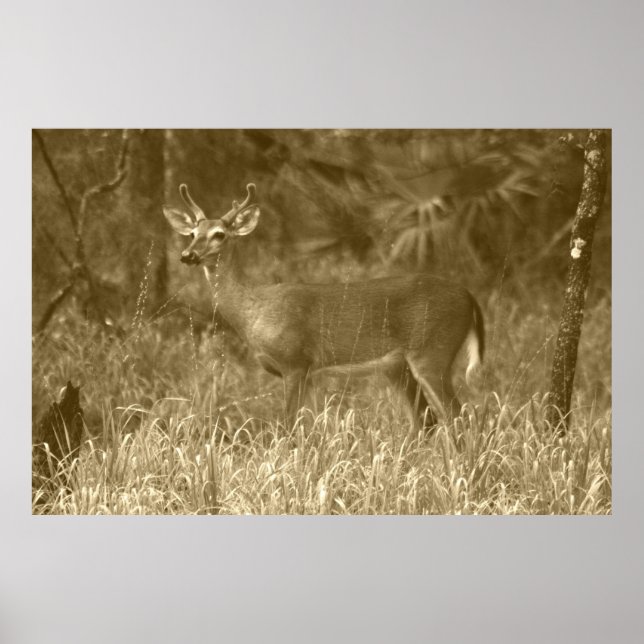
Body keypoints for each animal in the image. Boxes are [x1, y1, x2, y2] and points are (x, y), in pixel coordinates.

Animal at [163, 182, 485, 436]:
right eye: (192, 233)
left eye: (219, 234)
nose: (187, 255)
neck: (253, 312)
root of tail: (470, 297)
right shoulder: (307, 372)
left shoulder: (295, 361)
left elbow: (288, 427)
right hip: (398, 367)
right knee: (427, 420)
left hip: (432, 350)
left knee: (458, 416)